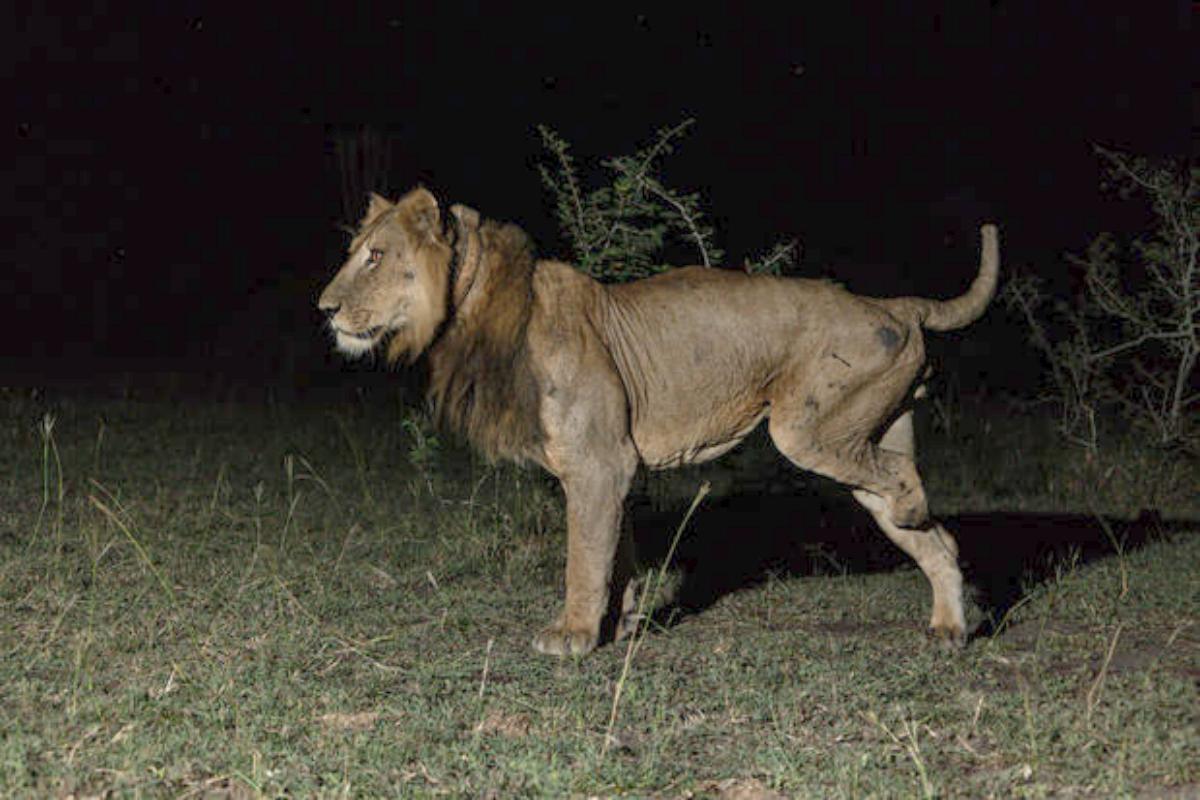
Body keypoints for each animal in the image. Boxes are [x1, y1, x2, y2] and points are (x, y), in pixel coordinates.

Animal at [319, 187, 1000, 655]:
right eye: (354, 253)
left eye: (375, 257)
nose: (323, 309)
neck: (474, 309)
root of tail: (891, 304)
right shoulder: (612, 466)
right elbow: (614, 552)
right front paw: (616, 625)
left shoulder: (599, 462)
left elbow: (583, 557)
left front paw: (571, 634)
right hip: (865, 434)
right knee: (937, 538)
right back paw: (948, 628)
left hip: (807, 429)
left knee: (904, 486)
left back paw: (916, 517)